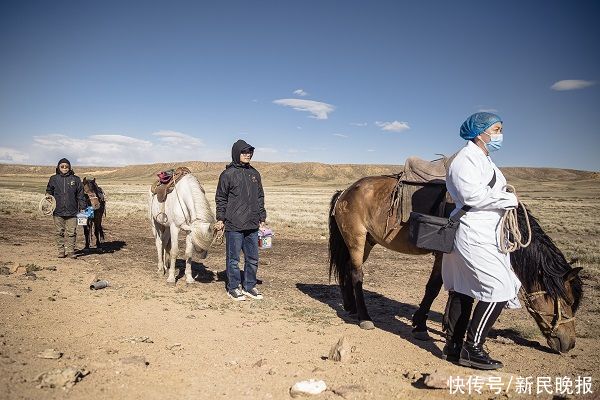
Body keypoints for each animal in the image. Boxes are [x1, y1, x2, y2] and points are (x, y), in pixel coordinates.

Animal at [330, 175, 584, 354]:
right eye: (567, 301)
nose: (569, 344)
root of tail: (345, 192)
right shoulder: (445, 255)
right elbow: (434, 288)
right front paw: (421, 326)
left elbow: (452, 290)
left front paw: (442, 326)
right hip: (356, 239)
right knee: (357, 275)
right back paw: (364, 318)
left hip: (367, 242)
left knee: (348, 272)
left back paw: (350, 307)